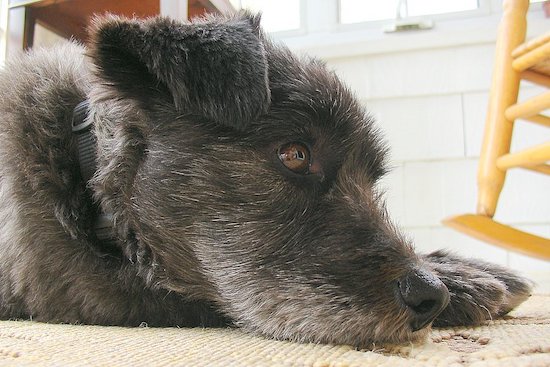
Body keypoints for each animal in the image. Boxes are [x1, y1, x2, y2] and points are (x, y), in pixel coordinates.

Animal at [0, 12, 536, 350]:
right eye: (295, 155)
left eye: (371, 177)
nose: (430, 297)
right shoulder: (82, 289)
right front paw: (463, 285)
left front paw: (462, 271)